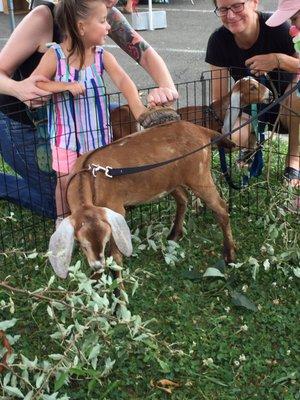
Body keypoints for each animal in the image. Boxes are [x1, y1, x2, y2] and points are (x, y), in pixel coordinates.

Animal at [49, 120, 236, 280]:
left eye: (106, 238)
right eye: (81, 244)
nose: (97, 266)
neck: (88, 176)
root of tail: (202, 130)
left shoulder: (115, 207)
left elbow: (115, 256)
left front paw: (118, 296)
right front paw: (95, 281)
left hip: (199, 174)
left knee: (221, 207)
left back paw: (230, 256)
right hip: (171, 180)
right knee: (184, 197)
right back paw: (174, 235)